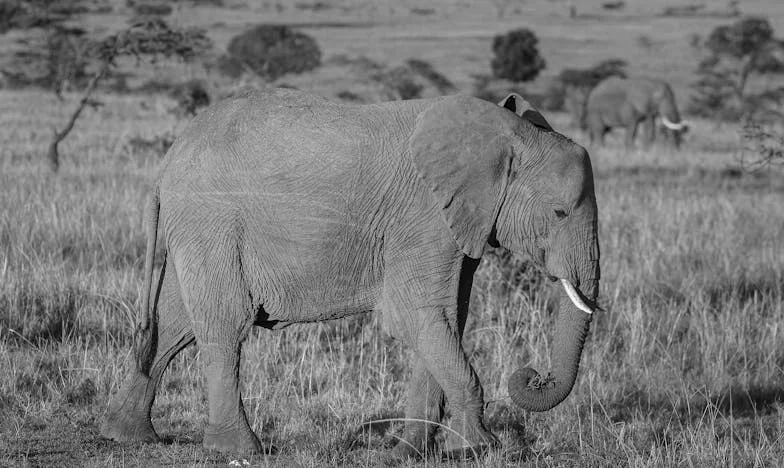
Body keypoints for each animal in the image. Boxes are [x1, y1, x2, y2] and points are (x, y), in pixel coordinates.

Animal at [99, 89, 600, 458]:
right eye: (559, 213)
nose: (532, 376)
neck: (503, 134)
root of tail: (167, 160)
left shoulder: (460, 225)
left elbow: (445, 321)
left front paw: (406, 454)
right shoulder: (423, 218)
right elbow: (419, 316)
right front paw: (481, 450)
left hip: (198, 227)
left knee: (175, 324)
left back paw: (126, 435)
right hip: (212, 221)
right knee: (225, 323)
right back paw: (239, 450)